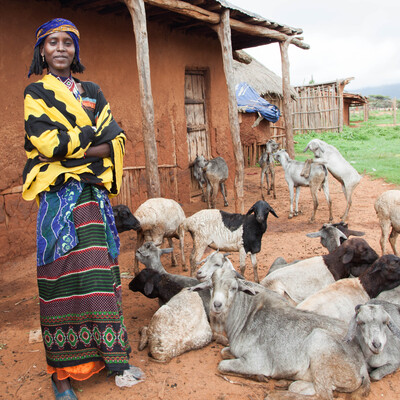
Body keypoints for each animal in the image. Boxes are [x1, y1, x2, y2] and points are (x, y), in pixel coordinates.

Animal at [189, 266, 370, 400]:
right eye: (212, 286)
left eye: (234, 288)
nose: (217, 305)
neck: (246, 317)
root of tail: (362, 366)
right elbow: (223, 352)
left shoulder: (256, 362)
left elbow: (222, 365)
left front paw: (260, 377)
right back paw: (285, 382)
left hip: (320, 343)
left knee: (323, 395)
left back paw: (276, 394)